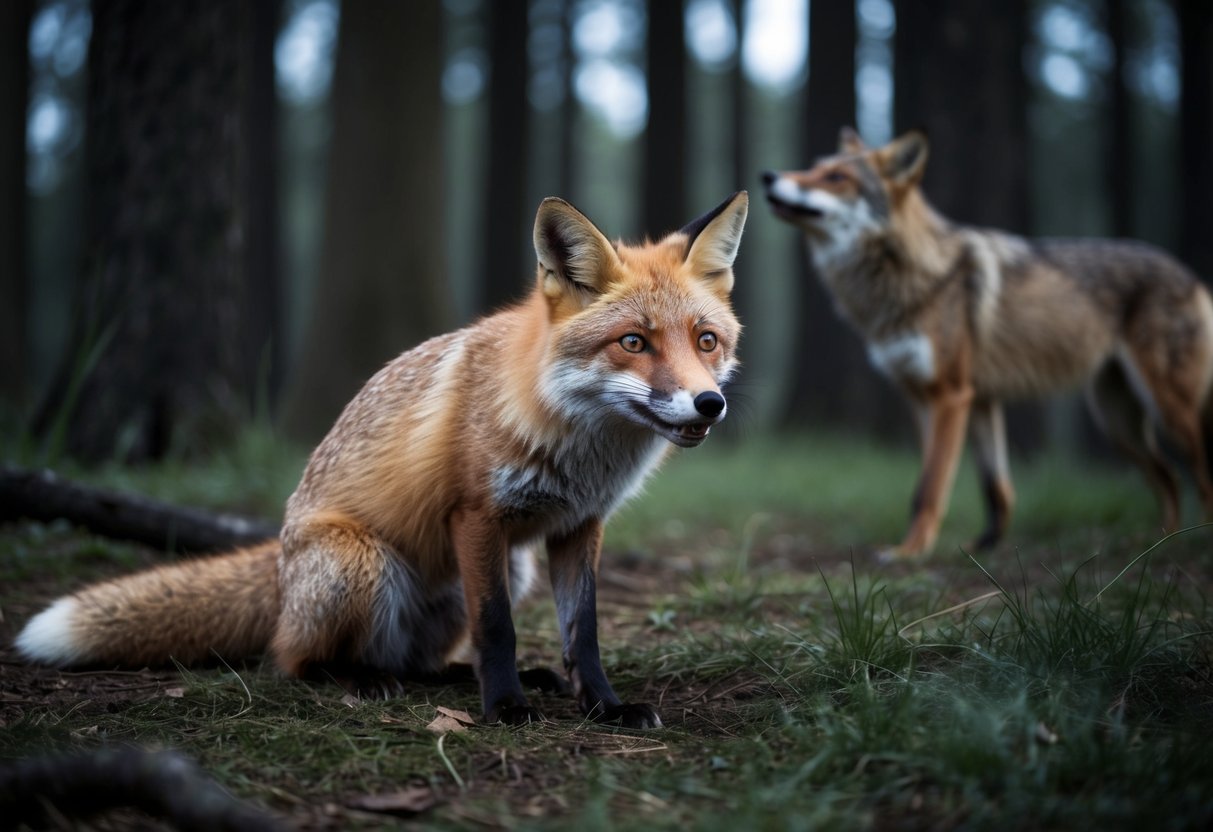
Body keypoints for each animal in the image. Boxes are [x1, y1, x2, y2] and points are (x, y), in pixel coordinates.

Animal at [15, 192, 750, 728]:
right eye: (633, 342)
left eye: (705, 340)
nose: (708, 403)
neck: (578, 443)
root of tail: (280, 561)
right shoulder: (476, 515)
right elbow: (497, 629)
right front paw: (505, 708)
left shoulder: (578, 526)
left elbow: (583, 634)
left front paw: (603, 706)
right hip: (362, 566)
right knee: (294, 659)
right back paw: (362, 681)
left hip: (502, 571)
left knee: (421, 662)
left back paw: (457, 676)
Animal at [763, 128, 1213, 559]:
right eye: (813, 166)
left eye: (836, 177)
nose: (768, 175)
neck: (906, 276)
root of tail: (1191, 275)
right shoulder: (953, 401)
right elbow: (995, 488)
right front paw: (986, 546)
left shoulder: (951, 397)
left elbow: (930, 487)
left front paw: (909, 553)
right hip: (1117, 422)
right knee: (1169, 477)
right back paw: (1159, 543)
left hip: (1167, 411)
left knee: (1199, 477)